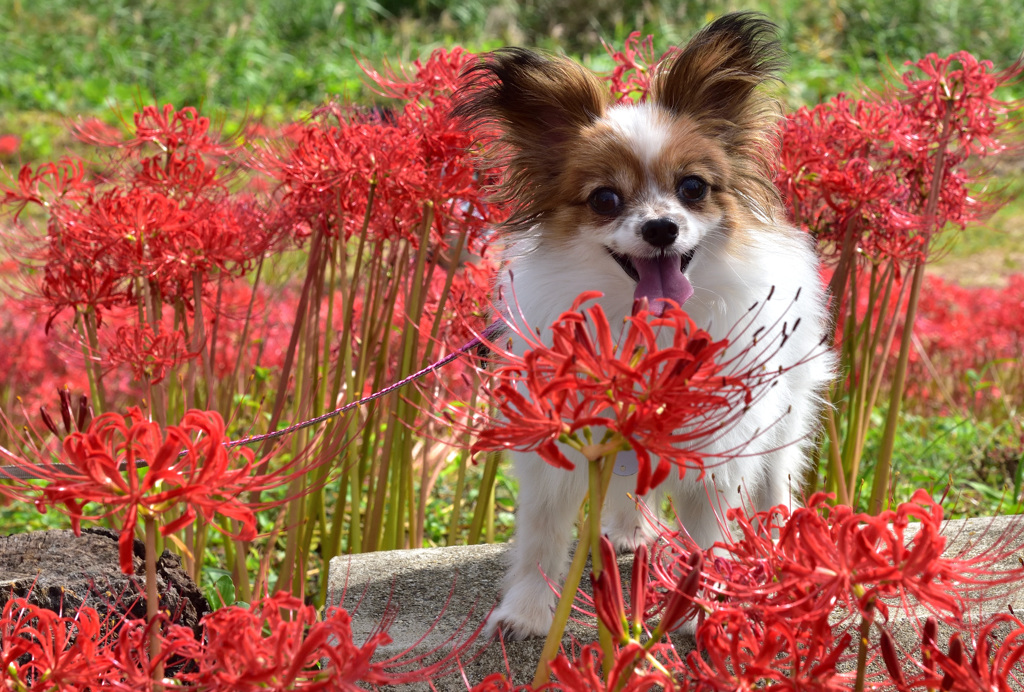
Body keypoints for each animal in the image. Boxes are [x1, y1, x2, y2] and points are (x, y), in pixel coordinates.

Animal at [454, 12, 831, 638]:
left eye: (693, 188)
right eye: (605, 198)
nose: (660, 228)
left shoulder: (713, 451)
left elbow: (709, 537)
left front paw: (706, 608)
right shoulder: (554, 449)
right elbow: (541, 537)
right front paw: (526, 611)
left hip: (787, 412)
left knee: (775, 481)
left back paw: (778, 542)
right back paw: (630, 531)